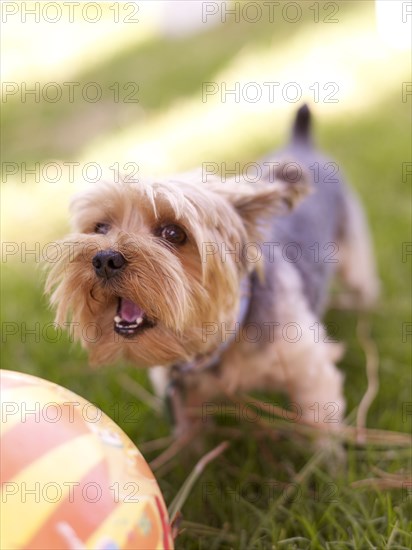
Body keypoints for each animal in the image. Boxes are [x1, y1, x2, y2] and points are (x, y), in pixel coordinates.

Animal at [46, 104, 378, 440]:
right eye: (100, 227)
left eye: (173, 233)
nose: (104, 259)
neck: (219, 342)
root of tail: (301, 142)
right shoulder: (180, 397)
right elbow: (190, 439)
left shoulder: (308, 369)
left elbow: (319, 427)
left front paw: (325, 453)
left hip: (353, 250)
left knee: (362, 283)